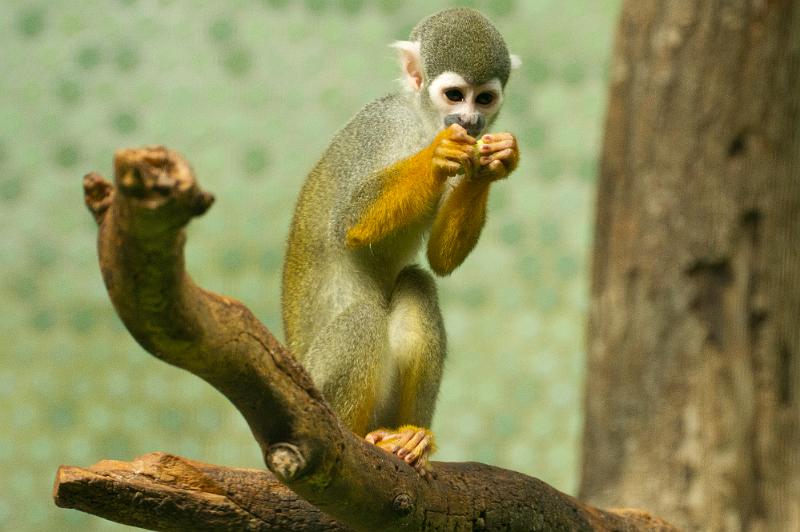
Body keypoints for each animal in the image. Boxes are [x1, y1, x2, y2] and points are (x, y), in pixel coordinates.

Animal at [282, 8, 520, 476]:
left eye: (484, 99)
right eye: (454, 95)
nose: (470, 122)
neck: (424, 123)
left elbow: (440, 259)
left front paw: (496, 161)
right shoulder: (379, 128)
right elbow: (351, 222)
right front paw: (437, 155)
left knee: (418, 283)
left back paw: (410, 436)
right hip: (310, 389)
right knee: (362, 320)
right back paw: (354, 437)